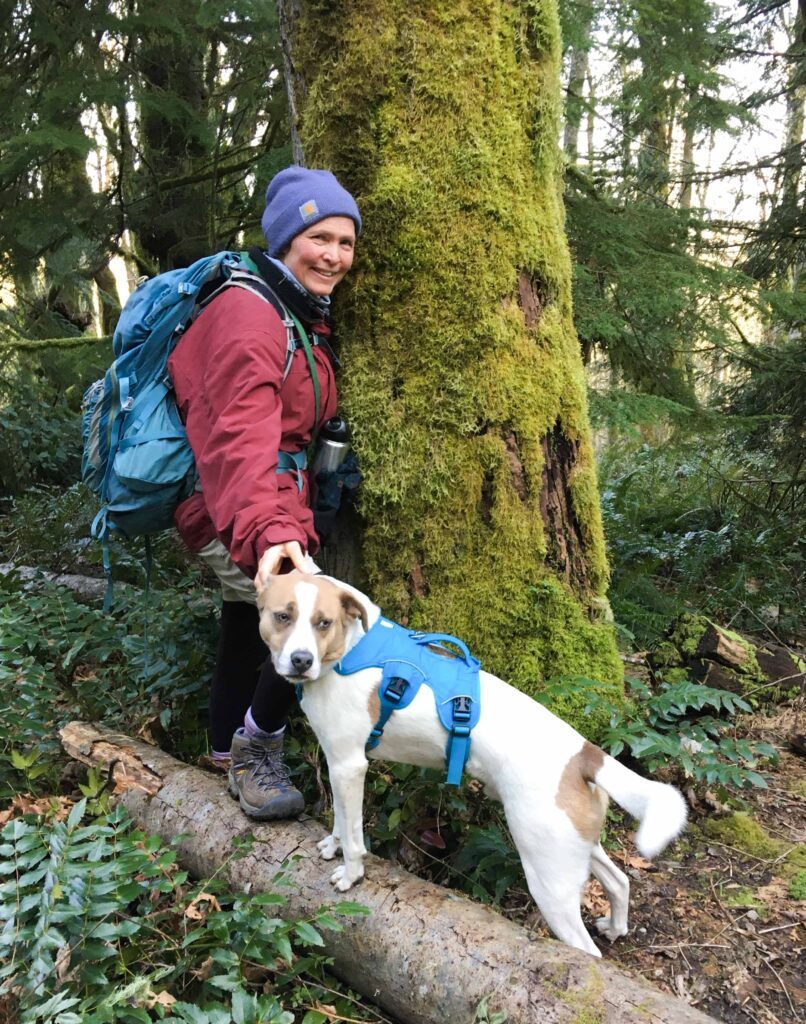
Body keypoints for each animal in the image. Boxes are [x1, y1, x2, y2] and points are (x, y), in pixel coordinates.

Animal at [258, 573, 688, 954]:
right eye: (283, 616)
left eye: (323, 622)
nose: (301, 660)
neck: (346, 652)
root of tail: (585, 753)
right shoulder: (336, 764)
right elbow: (338, 821)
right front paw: (331, 845)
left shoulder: (349, 766)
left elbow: (353, 838)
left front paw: (351, 874)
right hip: (574, 843)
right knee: (619, 881)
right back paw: (616, 927)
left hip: (550, 877)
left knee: (587, 952)